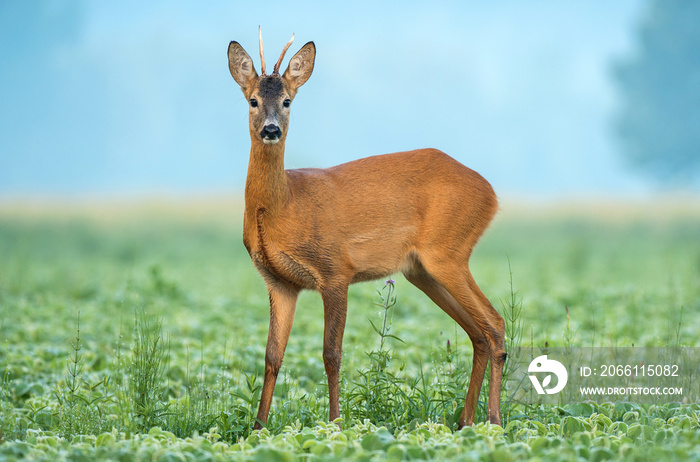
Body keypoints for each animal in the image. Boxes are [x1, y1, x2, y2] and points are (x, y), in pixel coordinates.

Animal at [227, 30, 506, 430]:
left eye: (287, 101)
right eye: (252, 100)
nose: (271, 129)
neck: (285, 205)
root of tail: (492, 193)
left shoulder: (335, 270)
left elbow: (331, 353)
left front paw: (334, 423)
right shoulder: (279, 282)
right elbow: (271, 356)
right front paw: (258, 427)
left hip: (448, 253)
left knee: (494, 323)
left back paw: (493, 421)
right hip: (422, 270)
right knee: (478, 332)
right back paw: (465, 422)